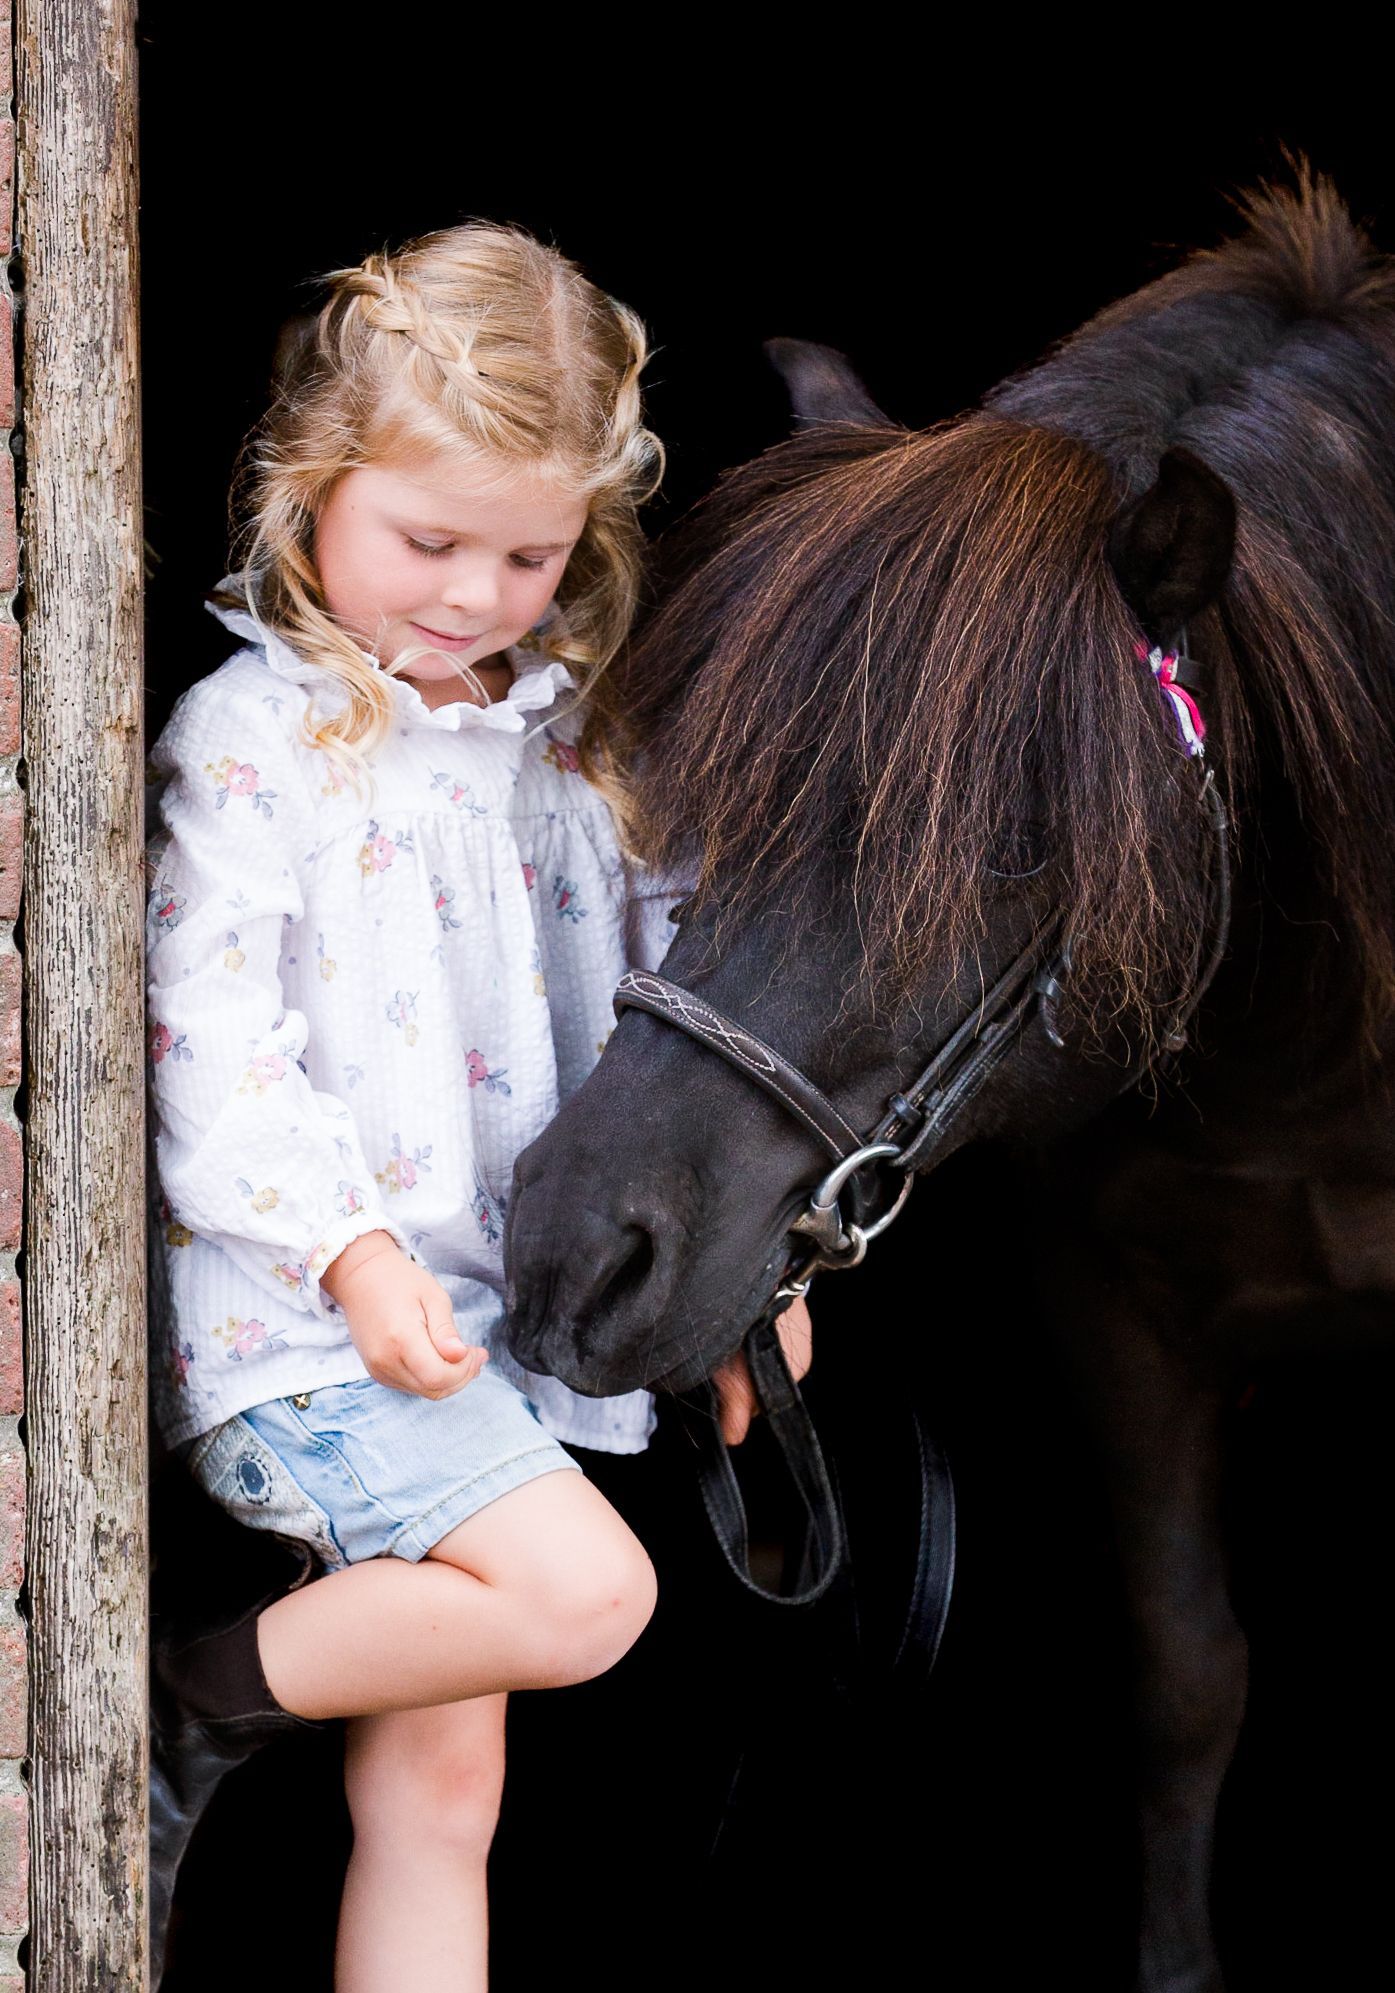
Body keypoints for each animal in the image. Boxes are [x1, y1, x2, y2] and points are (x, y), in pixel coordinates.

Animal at [502, 165, 1395, 1993]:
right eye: (721, 789)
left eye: (1008, 843)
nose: (570, 1253)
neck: (1296, 1052)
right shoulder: (1115, 1314)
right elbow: (1186, 1677)